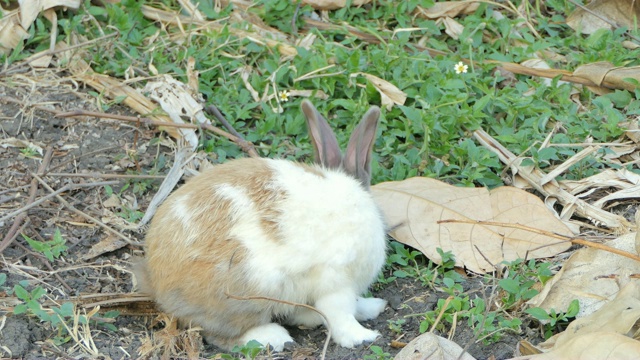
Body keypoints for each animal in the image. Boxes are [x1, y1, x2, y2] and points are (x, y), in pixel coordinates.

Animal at [140, 100, 388, 352]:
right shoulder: (335, 279)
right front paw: (364, 337)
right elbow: (340, 315)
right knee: (220, 335)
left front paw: (374, 306)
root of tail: (156, 279)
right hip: (246, 292)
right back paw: (274, 336)